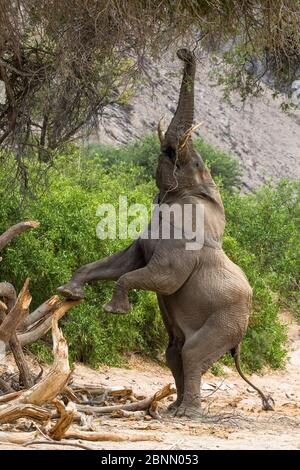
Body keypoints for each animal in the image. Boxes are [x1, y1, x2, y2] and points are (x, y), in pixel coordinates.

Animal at [57, 48, 274, 414]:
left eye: (195, 164)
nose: (184, 52)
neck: (197, 194)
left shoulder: (181, 246)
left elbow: (159, 277)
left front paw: (113, 311)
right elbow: (123, 261)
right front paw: (69, 293)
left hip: (226, 319)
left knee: (192, 353)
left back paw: (188, 413)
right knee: (174, 353)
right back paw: (173, 409)